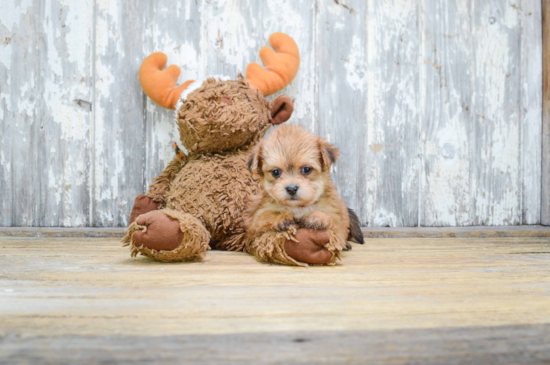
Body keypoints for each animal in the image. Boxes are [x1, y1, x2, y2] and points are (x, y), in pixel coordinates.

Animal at [248, 123, 364, 264]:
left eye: (306, 169)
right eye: (276, 172)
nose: (291, 188)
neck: (298, 207)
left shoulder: (336, 215)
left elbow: (332, 222)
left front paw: (317, 217)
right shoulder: (254, 221)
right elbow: (265, 216)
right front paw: (280, 217)